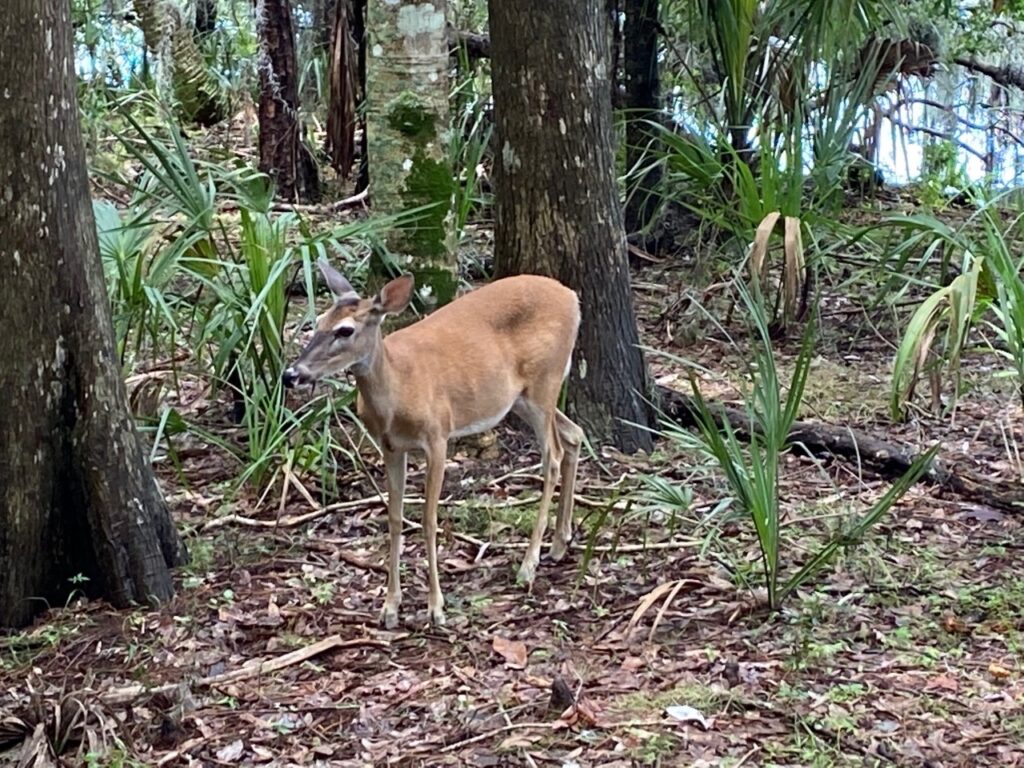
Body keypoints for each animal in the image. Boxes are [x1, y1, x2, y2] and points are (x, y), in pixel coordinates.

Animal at [282, 260, 585, 630]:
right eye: (319, 322)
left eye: (345, 330)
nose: (291, 375)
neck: (398, 390)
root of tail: (572, 297)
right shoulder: (391, 447)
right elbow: (395, 517)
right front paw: (390, 607)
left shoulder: (438, 436)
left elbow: (428, 520)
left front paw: (435, 608)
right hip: (522, 398)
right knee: (574, 434)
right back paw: (559, 543)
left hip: (545, 380)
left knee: (553, 455)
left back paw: (529, 565)